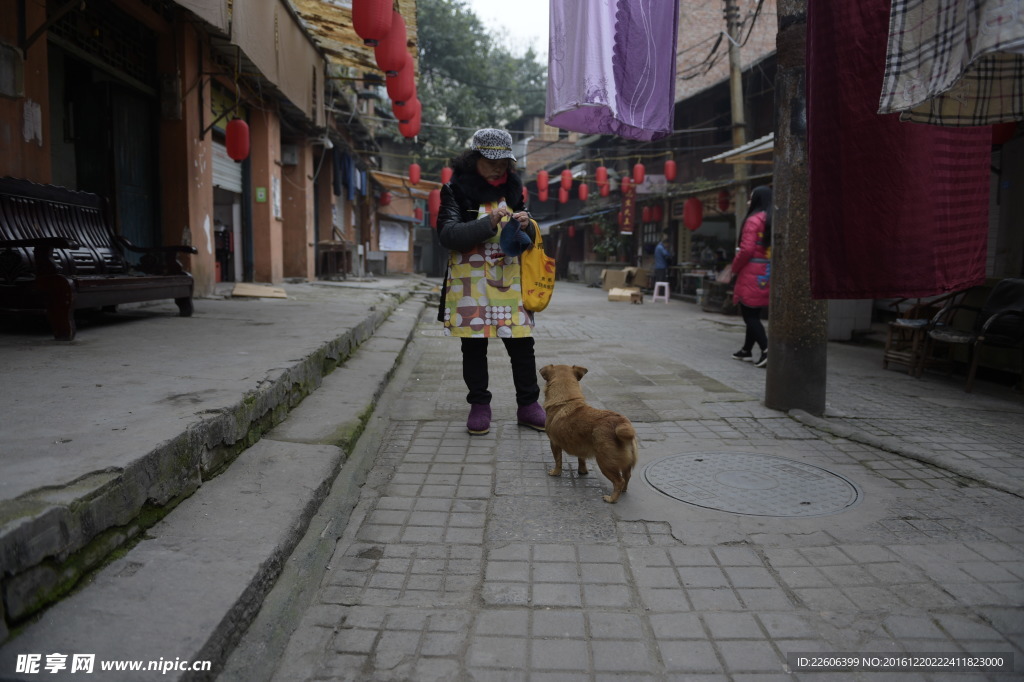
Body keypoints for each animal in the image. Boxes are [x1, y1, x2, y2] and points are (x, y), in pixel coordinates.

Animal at [540, 364, 634, 501]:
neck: (567, 400)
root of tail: (620, 422)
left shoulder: (554, 443)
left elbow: (558, 461)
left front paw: (555, 472)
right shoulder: (581, 446)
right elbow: (581, 459)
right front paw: (582, 471)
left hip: (605, 463)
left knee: (619, 481)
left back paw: (611, 499)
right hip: (626, 465)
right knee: (627, 476)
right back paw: (623, 490)